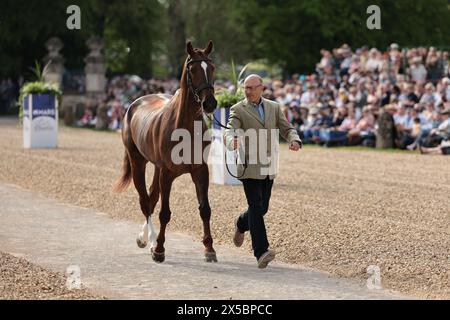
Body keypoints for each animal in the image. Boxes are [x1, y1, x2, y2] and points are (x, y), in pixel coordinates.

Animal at [113, 41, 217, 262]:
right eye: (193, 69)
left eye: (212, 68)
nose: (210, 103)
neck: (185, 127)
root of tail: (134, 104)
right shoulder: (168, 173)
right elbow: (165, 213)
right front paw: (159, 249)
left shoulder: (200, 171)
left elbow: (205, 209)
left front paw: (209, 249)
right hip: (138, 163)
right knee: (145, 201)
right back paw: (150, 241)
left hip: (156, 168)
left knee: (151, 198)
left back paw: (144, 238)